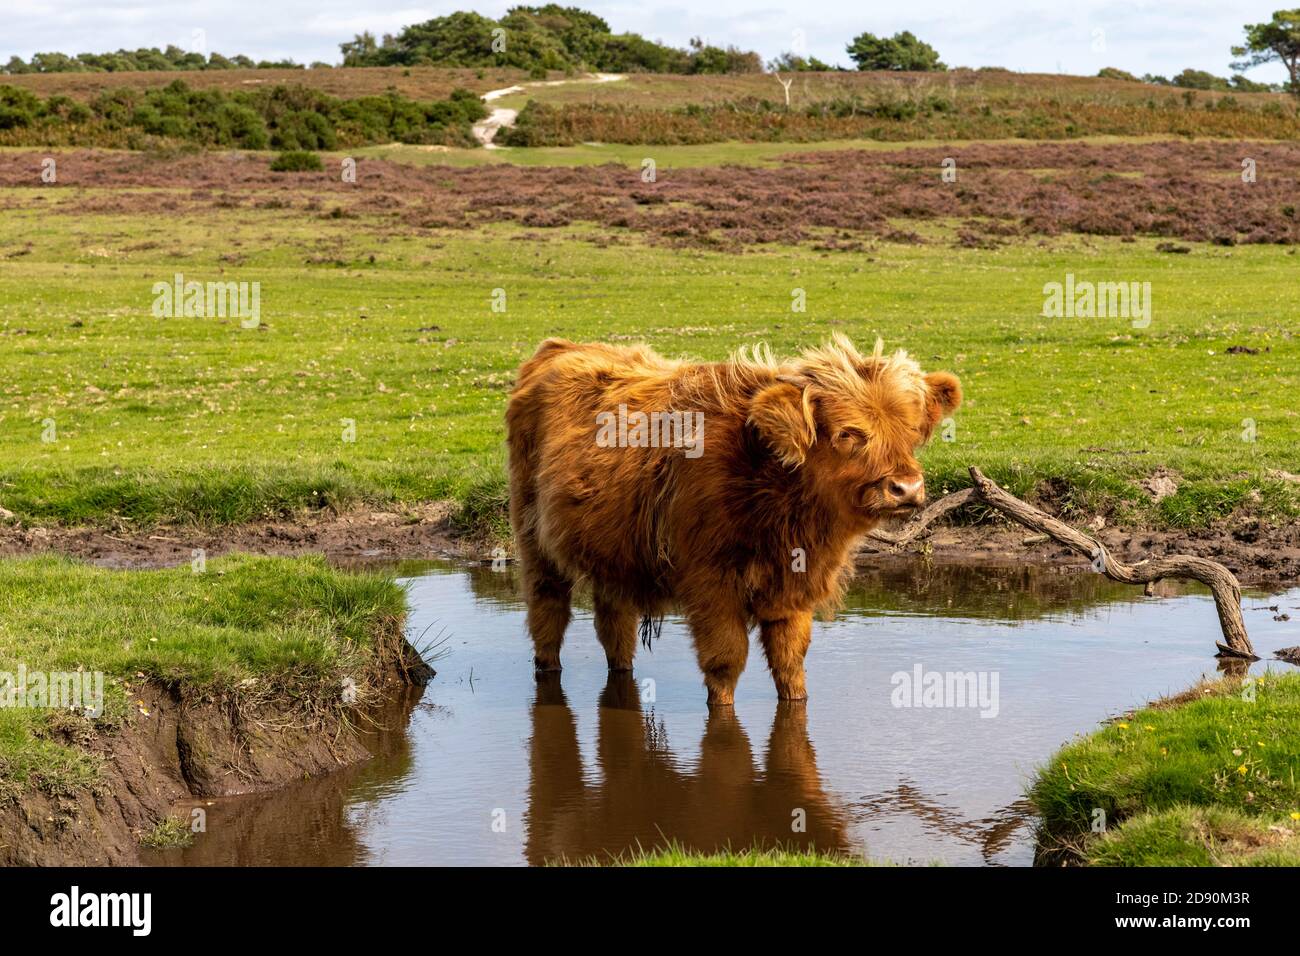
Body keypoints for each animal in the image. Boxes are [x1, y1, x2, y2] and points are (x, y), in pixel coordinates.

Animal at [501, 332, 961, 707]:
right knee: (547, 612)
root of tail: (560, 348)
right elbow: (725, 660)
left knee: (614, 624)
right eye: (848, 433)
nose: (906, 488)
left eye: (911, 431)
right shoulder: (711, 584)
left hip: (613, 552)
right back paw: (547, 669)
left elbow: (790, 661)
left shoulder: (793, 589)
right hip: (533, 537)